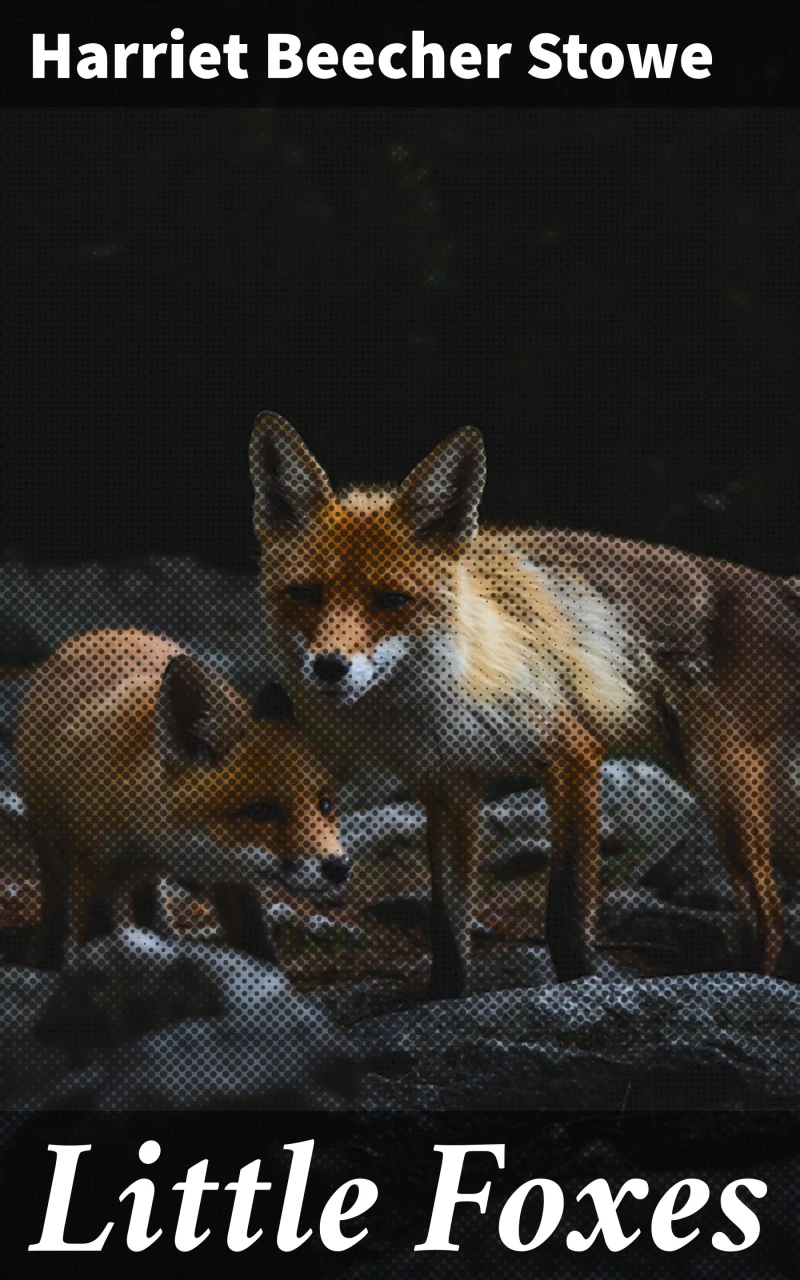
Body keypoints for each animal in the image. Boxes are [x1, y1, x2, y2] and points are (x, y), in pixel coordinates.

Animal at [15, 628, 348, 969]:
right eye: (260, 811)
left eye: (325, 805)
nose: (339, 867)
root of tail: (97, 633)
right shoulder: (92, 873)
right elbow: (94, 939)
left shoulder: (236, 881)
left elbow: (256, 945)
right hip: (49, 842)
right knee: (56, 898)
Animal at [248, 411, 799, 999]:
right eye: (306, 594)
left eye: (391, 600)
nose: (330, 666)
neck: (436, 700)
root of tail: (777, 586)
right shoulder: (447, 790)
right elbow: (447, 927)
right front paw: (444, 1000)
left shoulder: (573, 755)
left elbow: (565, 914)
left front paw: (581, 990)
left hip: (726, 788)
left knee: (768, 915)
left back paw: (746, 983)